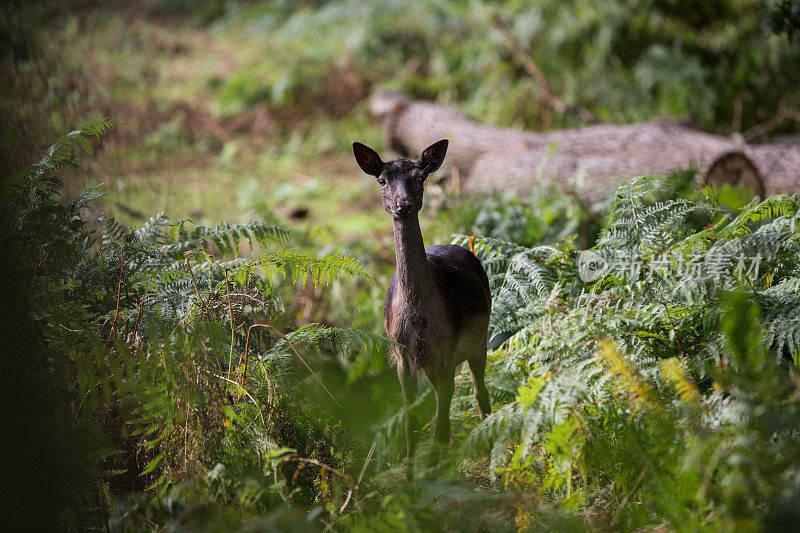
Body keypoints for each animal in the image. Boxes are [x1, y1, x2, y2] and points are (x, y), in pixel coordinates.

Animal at [352, 139, 490, 460]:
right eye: (382, 180)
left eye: (420, 177)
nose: (403, 205)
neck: (417, 315)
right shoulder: (403, 356)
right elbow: (410, 425)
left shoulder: (447, 348)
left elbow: (441, 428)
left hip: (479, 337)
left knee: (480, 391)